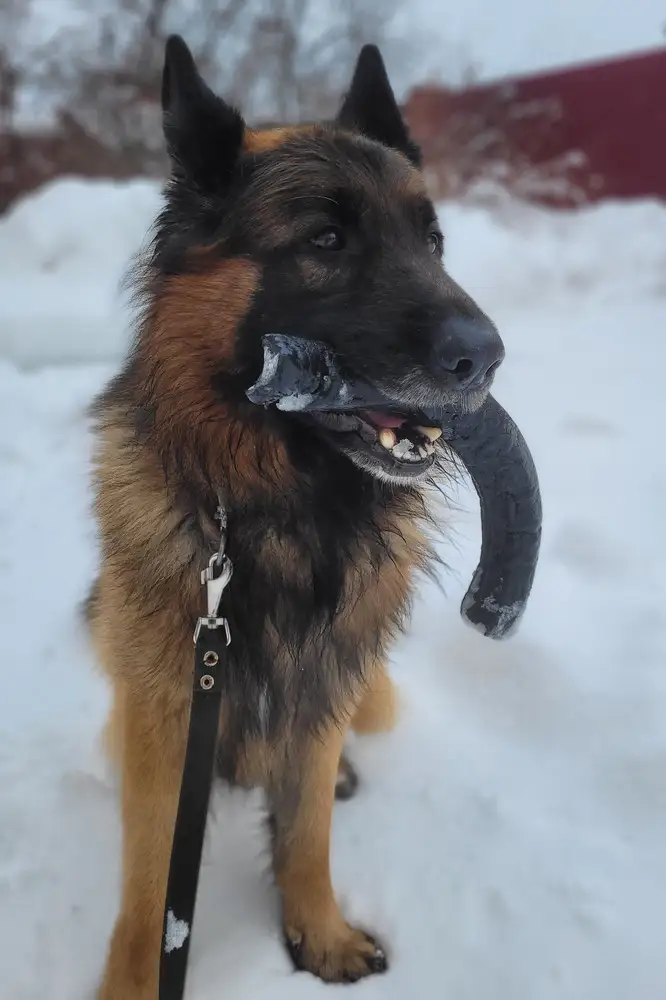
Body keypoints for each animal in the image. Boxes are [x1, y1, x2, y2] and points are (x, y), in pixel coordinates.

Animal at [89, 35, 504, 996]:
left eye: (433, 242)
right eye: (326, 240)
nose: (487, 357)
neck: (279, 514)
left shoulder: (319, 689)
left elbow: (309, 829)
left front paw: (318, 932)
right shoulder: (166, 715)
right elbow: (144, 890)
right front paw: (132, 980)